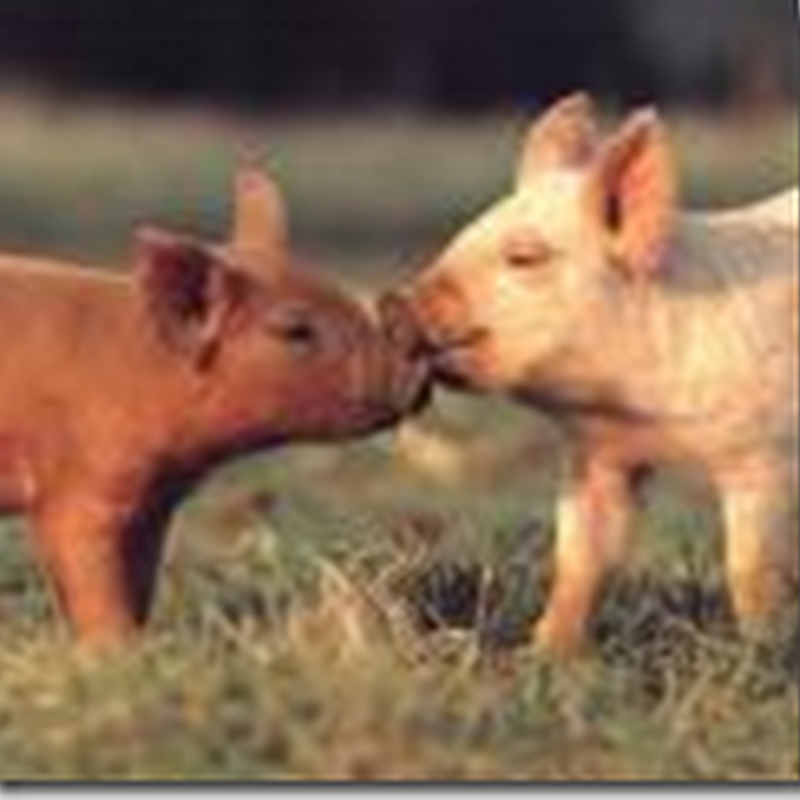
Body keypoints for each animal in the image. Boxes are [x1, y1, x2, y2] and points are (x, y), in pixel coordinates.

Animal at [0, 167, 429, 646]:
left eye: (341, 294)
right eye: (295, 330)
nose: (418, 360)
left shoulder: (153, 507)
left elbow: (140, 582)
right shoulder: (82, 489)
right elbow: (94, 581)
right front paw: (119, 650)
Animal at [387, 94, 798, 656]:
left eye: (524, 257)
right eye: (462, 234)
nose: (395, 302)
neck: (646, 417)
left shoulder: (764, 453)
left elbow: (753, 567)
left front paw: (766, 652)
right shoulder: (599, 456)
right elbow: (581, 557)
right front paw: (542, 654)